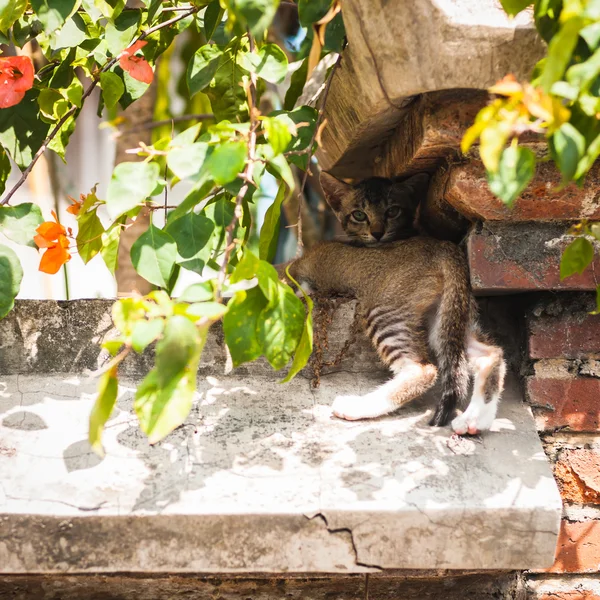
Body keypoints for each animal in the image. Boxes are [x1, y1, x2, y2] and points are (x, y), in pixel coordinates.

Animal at [282, 171, 506, 434]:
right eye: (359, 215)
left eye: (392, 212)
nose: (378, 232)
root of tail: (445, 246)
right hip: (448, 316)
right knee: (489, 353)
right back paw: (475, 420)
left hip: (385, 311)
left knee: (422, 370)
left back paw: (355, 407)